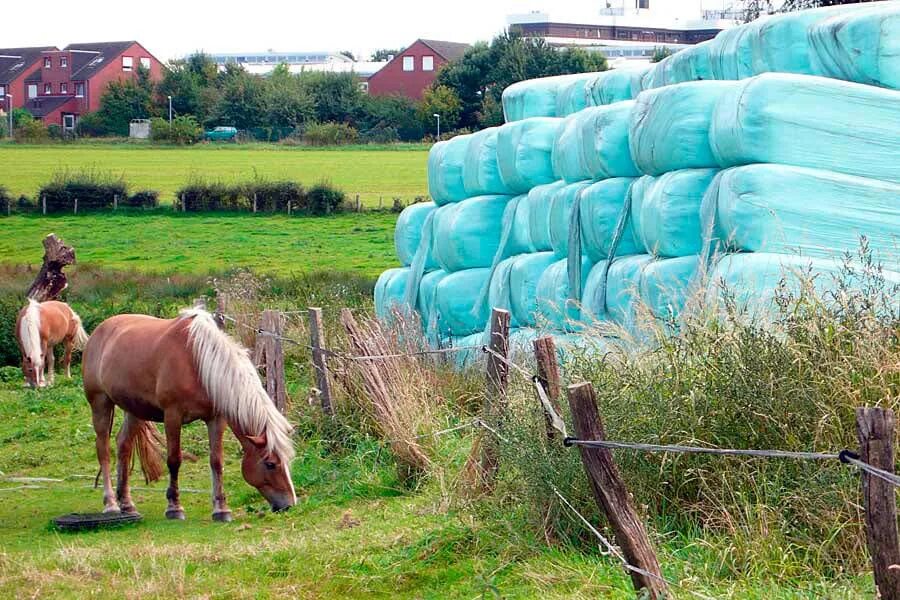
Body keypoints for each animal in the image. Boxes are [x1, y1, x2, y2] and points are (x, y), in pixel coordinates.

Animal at [82, 310, 298, 520]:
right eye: (270, 464)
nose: (289, 505)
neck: (197, 362)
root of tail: (99, 331)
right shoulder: (172, 416)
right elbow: (174, 460)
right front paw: (174, 507)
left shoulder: (216, 419)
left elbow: (216, 461)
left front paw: (221, 509)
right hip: (100, 404)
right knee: (104, 450)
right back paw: (111, 503)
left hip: (134, 410)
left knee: (123, 446)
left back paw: (127, 504)